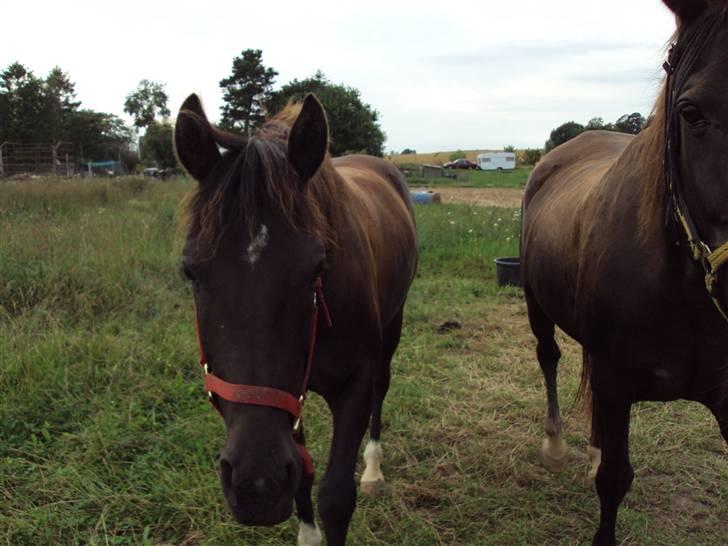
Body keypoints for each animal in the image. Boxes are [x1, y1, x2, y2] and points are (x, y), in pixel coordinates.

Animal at [173, 93, 418, 544]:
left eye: (316, 269)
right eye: (191, 272)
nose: (256, 485)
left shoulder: (355, 385)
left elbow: (336, 496)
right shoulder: (291, 397)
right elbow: (302, 478)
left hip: (394, 326)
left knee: (383, 389)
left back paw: (373, 469)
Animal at [520, 2, 728, 540]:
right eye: (691, 112)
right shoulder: (616, 383)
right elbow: (614, 480)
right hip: (536, 304)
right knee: (549, 357)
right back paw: (557, 445)